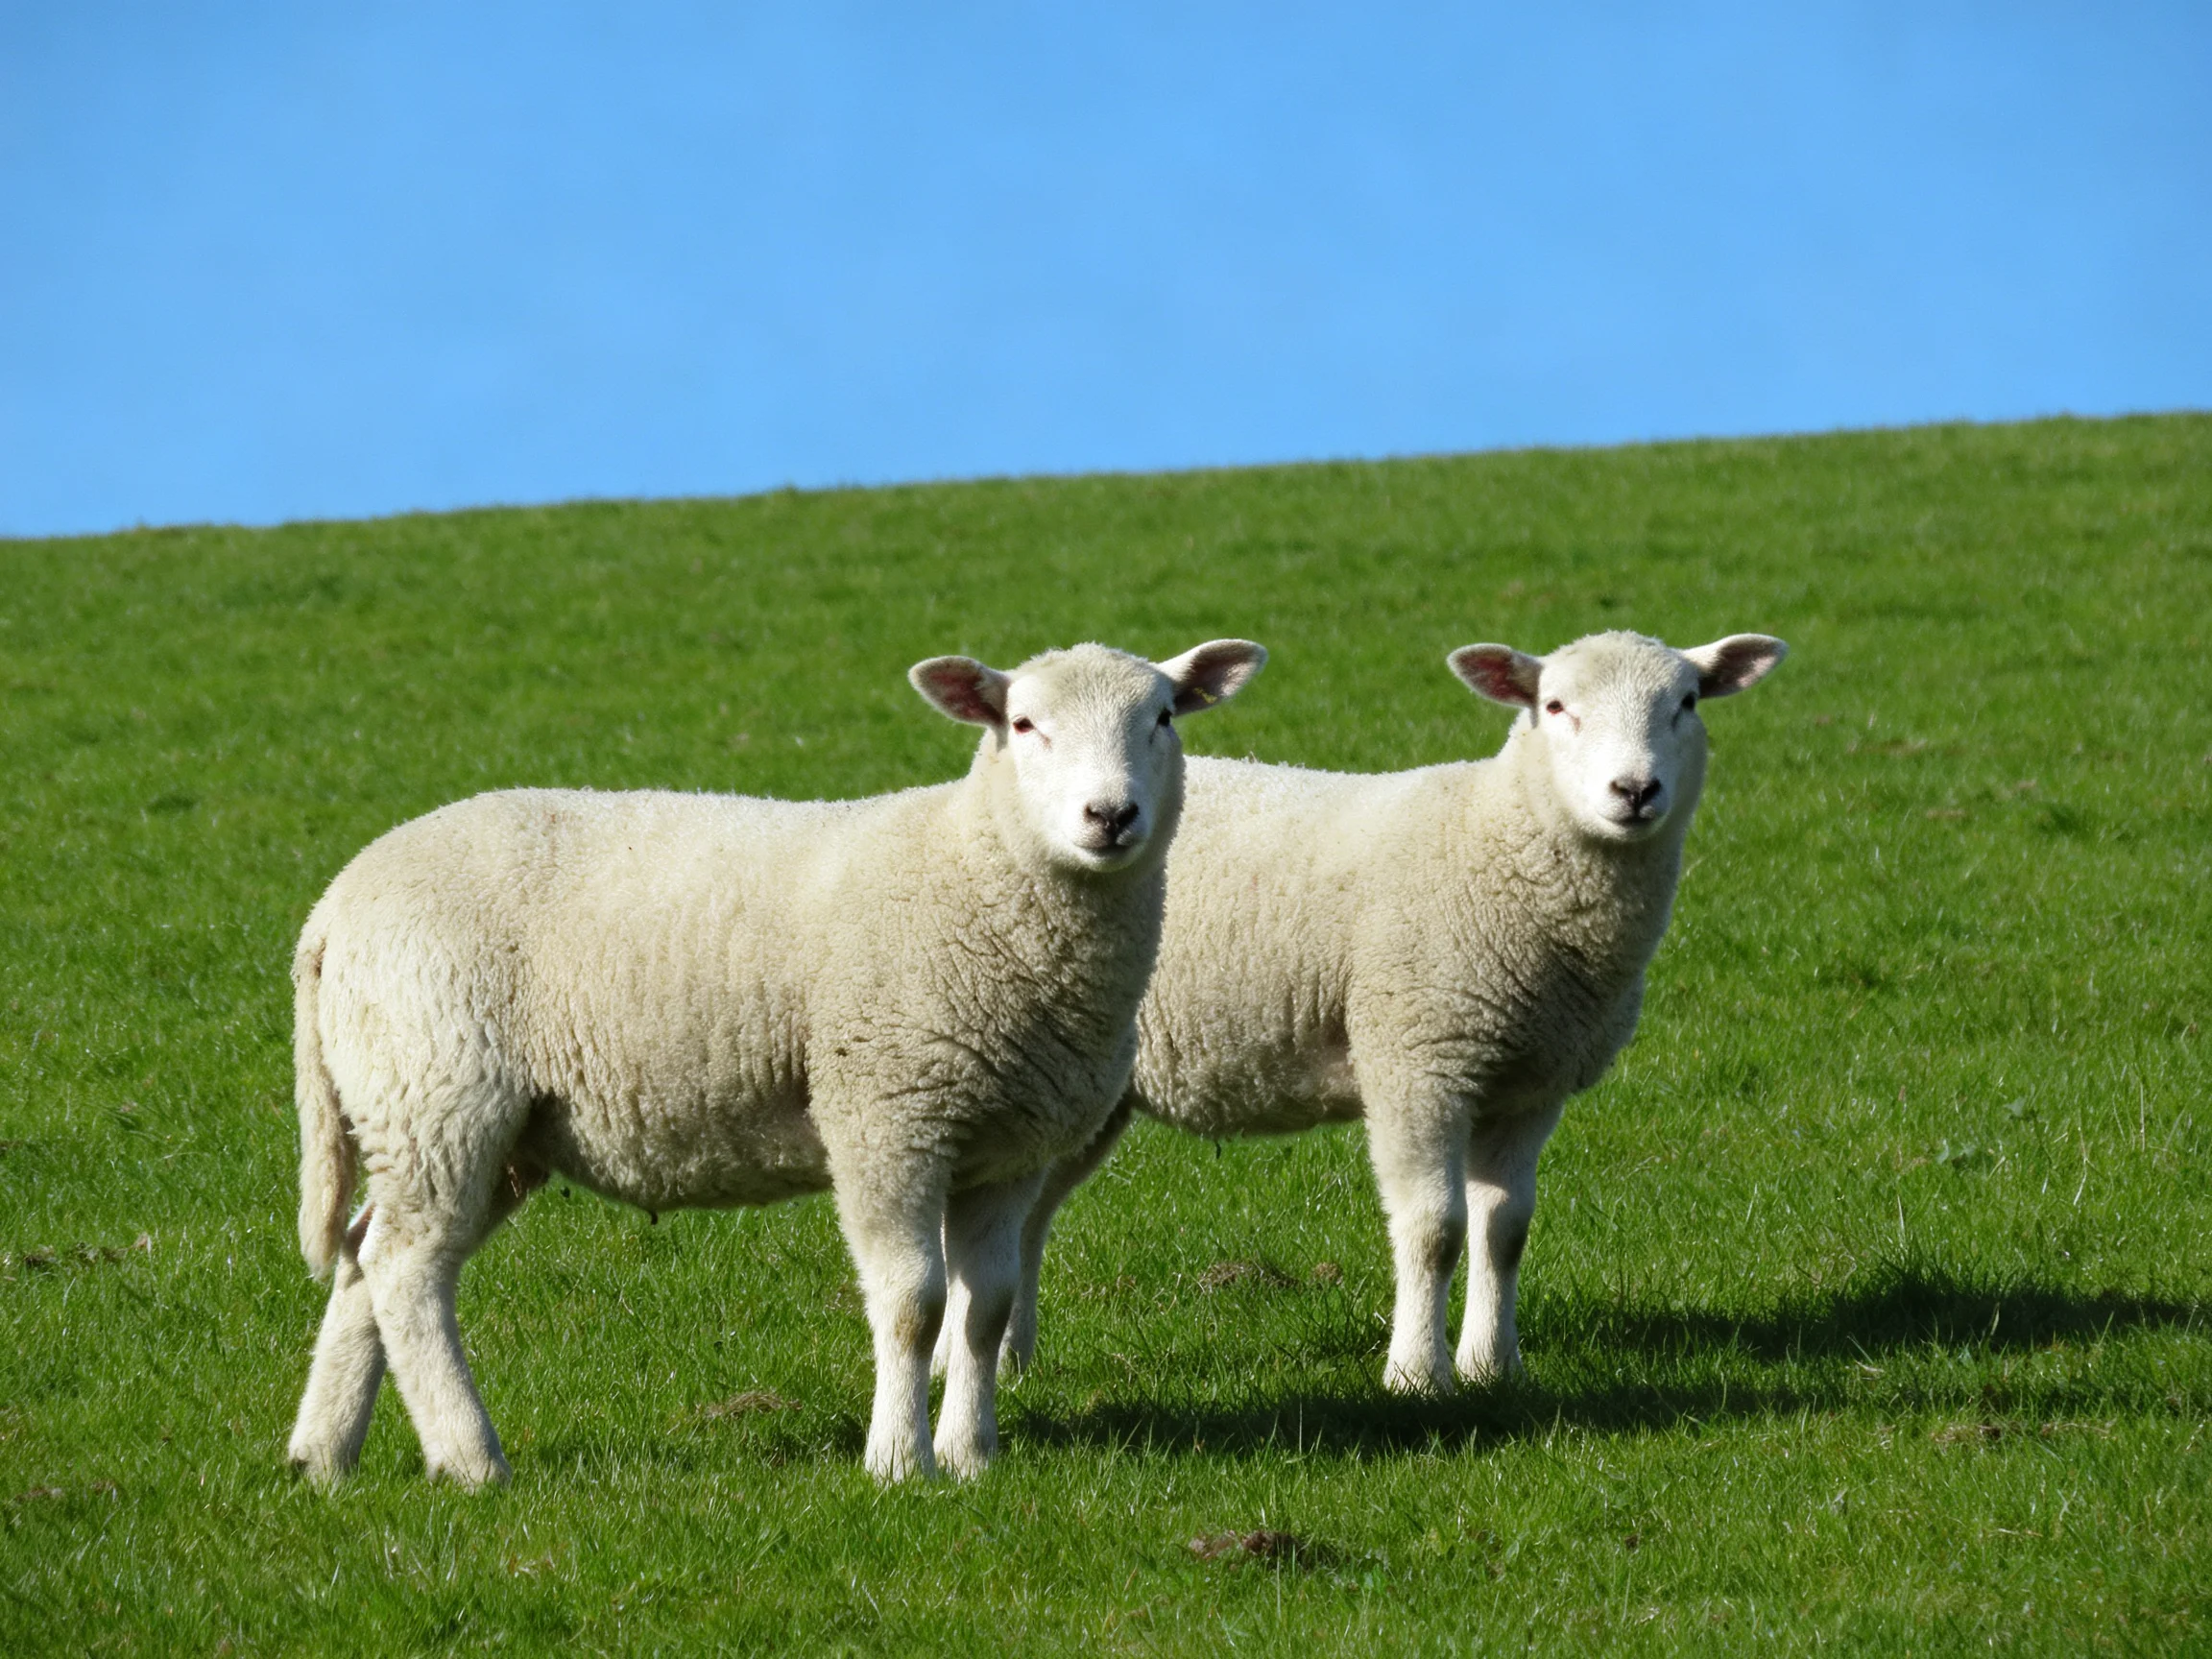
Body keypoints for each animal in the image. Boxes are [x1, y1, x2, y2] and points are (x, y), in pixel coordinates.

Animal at [284, 637, 1267, 1488]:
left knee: (365, 1255)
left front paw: (970, 1457)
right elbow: (914, 1303)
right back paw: (470, 1459)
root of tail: (331, 908)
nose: (1111, 816)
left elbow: (984, 1308)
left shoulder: (1008, 1148)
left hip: (467, 1123)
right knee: (408, 1270)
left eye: (1164, 717)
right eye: (1024, 724)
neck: (975, 874)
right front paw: (897, 1462)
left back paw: (323, 1455)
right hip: (440, 1092)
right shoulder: (884, 1117)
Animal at [966, 630, 1786, 1396]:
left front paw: (1493, 1367)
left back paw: (1008, 1362)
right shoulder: (1417, 1060)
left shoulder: (1529, 1086)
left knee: (1029, 1218)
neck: (1498, 845)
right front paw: (1418, 1375)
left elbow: (1505, 1229)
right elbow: (1435, 1229)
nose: (1635, 790)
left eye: (1686, 703)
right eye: (1555, 707)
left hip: (1078, 1090)